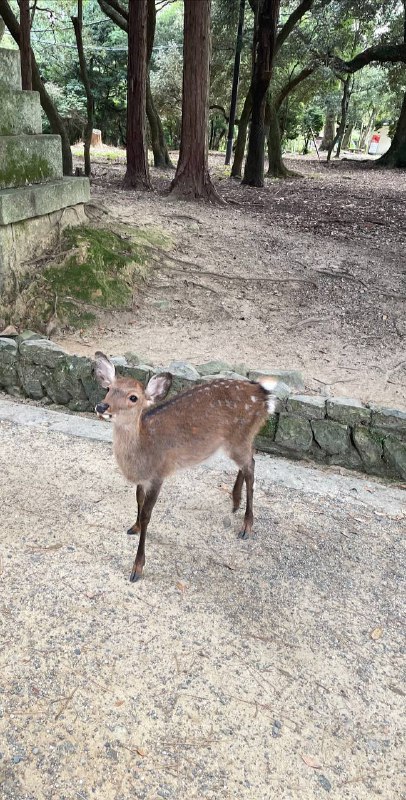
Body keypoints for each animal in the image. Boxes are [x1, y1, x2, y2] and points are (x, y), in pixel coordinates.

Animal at [95, 354, 278, 584]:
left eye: (133, 397)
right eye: (109, 388)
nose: (102, 407)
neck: (141, 455)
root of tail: (263, 392)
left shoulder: (158, 474)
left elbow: (147, 514)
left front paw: (137, 568)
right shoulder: (143, 479)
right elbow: (138, 500)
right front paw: (134, 527)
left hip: (240, 437)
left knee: (251, 466)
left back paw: (246, 527)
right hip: (239, 440)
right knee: (248, 462)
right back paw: (235, 501)